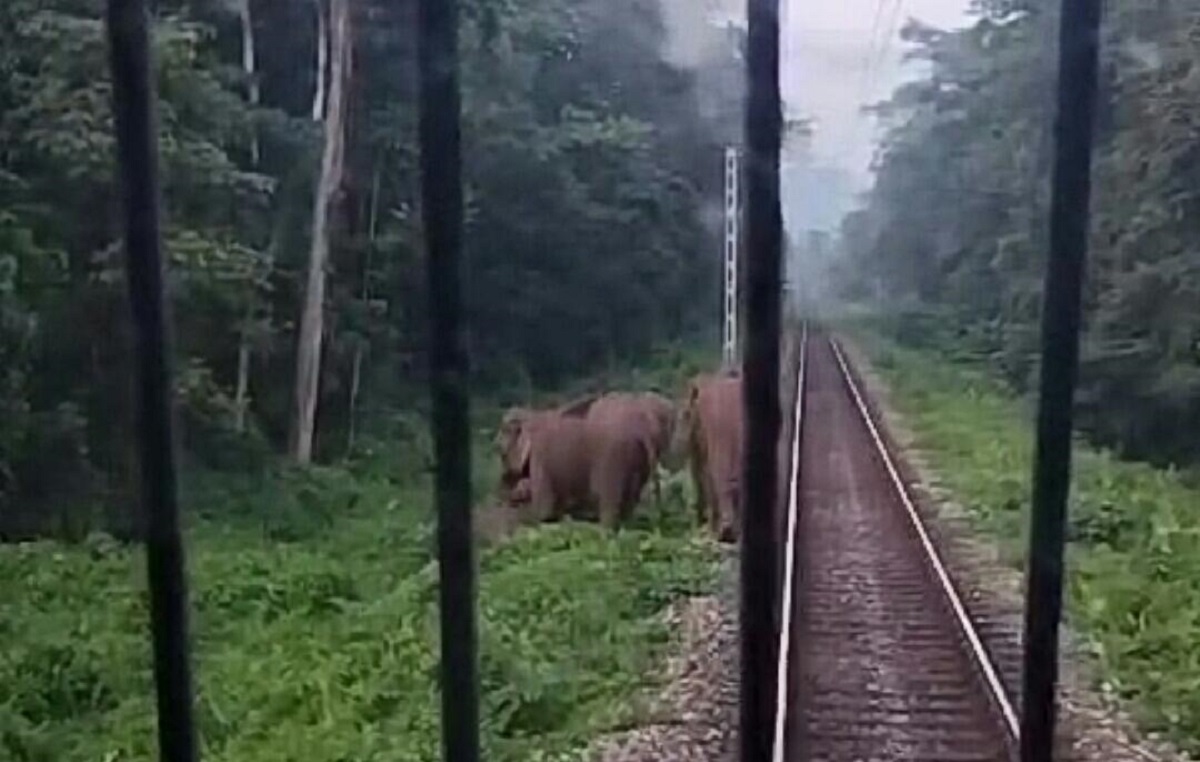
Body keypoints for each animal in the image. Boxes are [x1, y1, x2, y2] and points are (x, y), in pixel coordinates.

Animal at [492, 393, 652, 530]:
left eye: (501, 452)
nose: (503, 499)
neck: (534, 414)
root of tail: (639, 439)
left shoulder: (540, 458)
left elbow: (543, 509)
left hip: (613, 464)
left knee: (609, 507)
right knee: (629, 506)